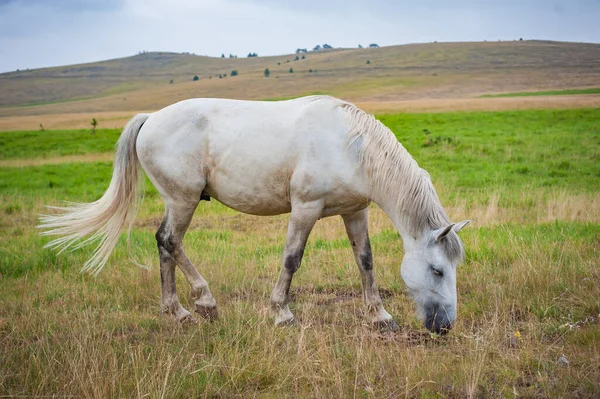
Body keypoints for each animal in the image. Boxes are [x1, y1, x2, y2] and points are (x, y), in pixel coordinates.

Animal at [38, 96, 468, 334]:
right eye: (437, 270)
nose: (445, 327)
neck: (351, 146)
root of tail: (151, 118)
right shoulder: (306, 209)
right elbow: (292, 259)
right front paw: (282, 314)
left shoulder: (355, 212)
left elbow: (365, 261)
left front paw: (379, 316)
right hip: (183, 200)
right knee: (168, 240)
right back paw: (196, 306)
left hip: (180, 202)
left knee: (166, 246)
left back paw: (183, 309)